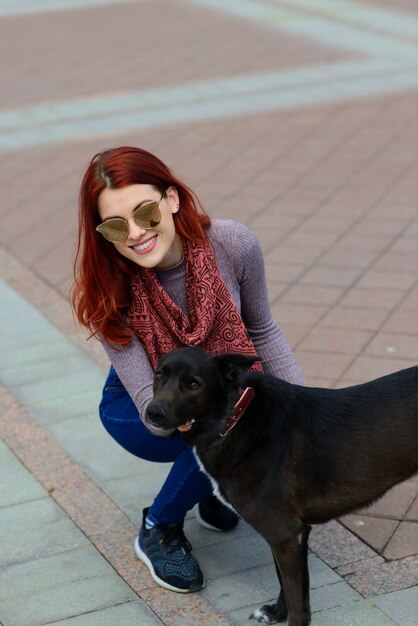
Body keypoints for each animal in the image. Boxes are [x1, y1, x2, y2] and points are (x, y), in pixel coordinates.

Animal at [146, 346, 418, 624]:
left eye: (194, 384)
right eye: (159, 375)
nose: (153, 413)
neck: (234, 418)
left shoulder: (286, 535)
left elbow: (297, 598)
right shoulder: (283, 537)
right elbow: (283, 583)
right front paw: (276, 613)